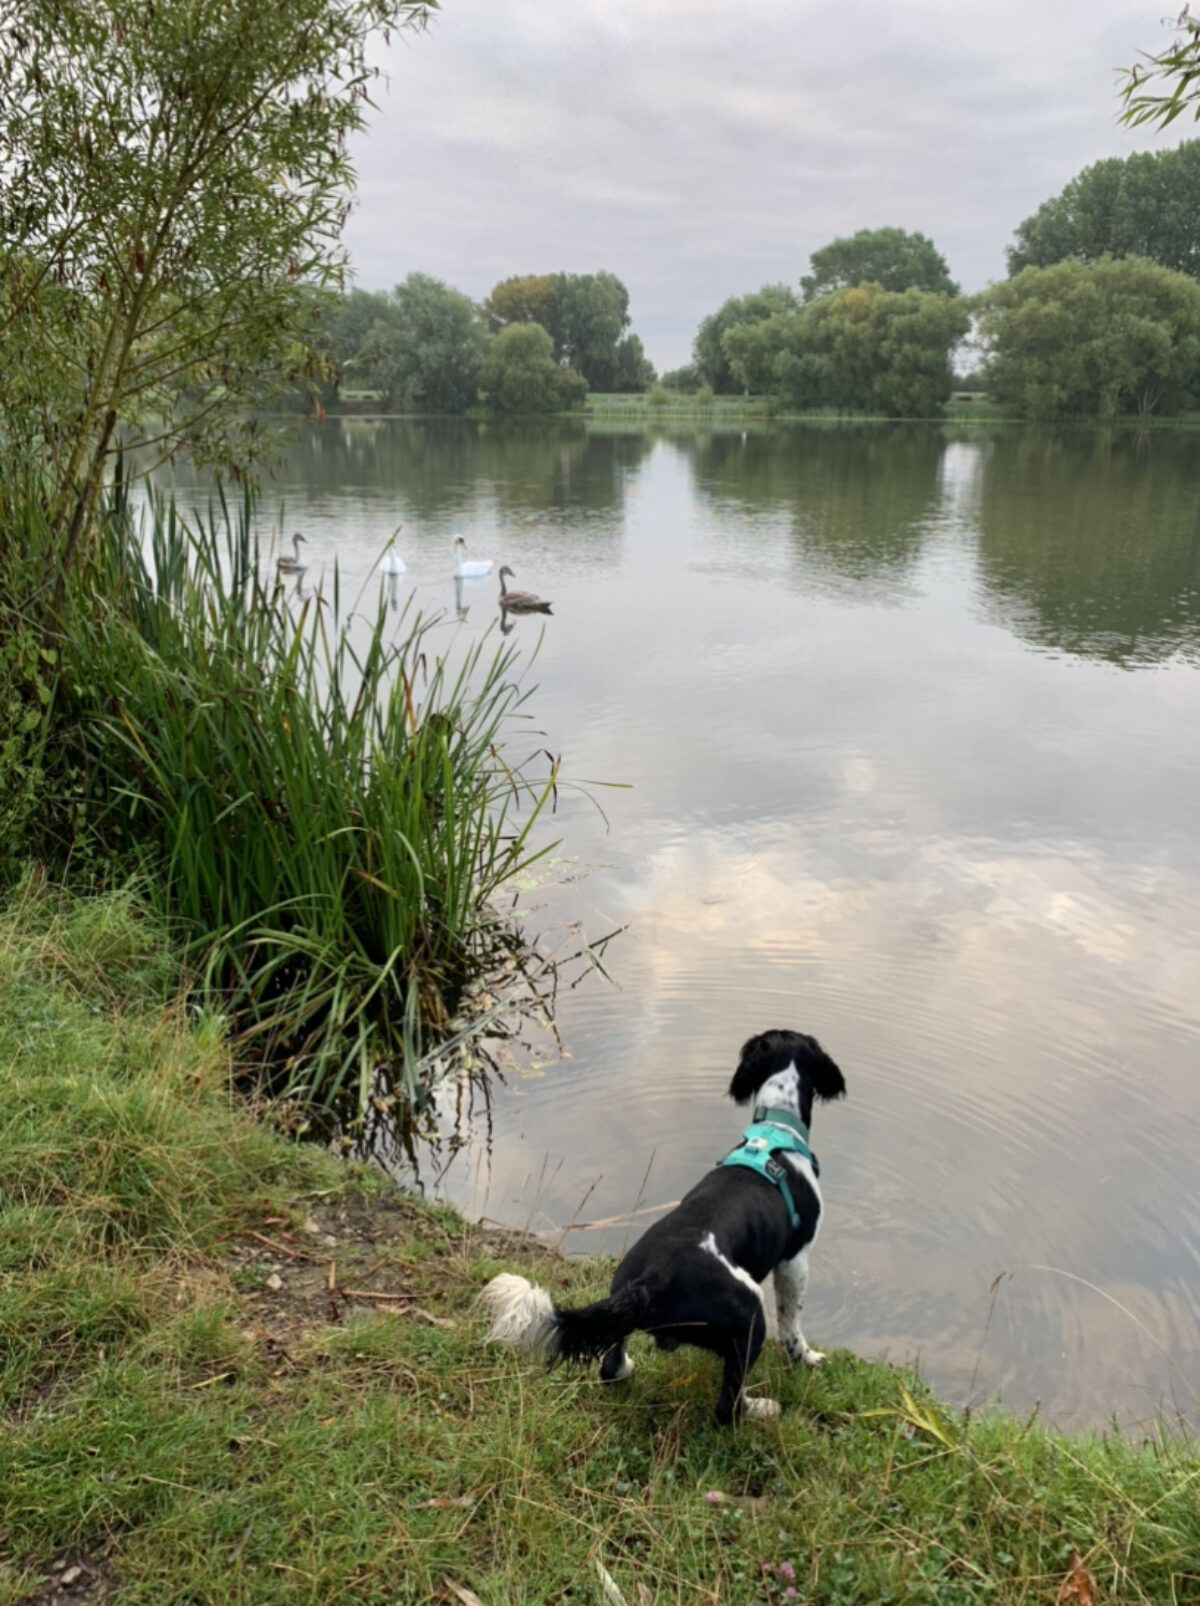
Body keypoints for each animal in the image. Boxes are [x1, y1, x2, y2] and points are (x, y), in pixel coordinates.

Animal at [478, 1027, 841, 1419]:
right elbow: (792, 1321)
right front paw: (807, 1358)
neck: (775, 1131)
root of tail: (652, 1280)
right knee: (726, 1407)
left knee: (610, 1368)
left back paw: (628, 1368)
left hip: (621, 1304)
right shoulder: (795, 1259)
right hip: (750, 1313)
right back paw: (762, 1409)